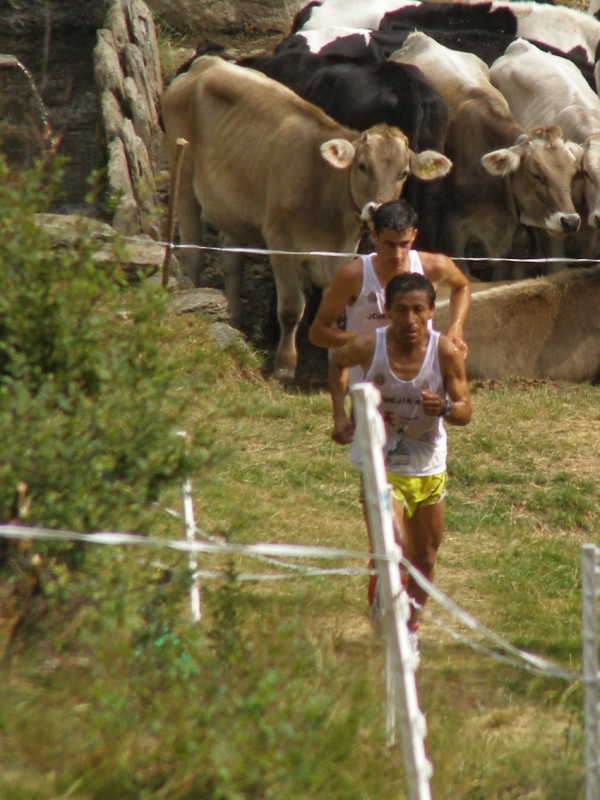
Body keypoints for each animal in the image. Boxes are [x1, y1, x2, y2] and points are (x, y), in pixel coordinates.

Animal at [159, 55, 450, 382]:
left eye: (403, 173)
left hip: (231, 203)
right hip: (183, 176)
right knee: (193, 250)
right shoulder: (281, 243)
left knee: (232, 259)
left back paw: (234, 316)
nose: (381, 211)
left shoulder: (341, 254)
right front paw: (285, 365)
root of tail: (206, 63)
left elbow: (333, 307)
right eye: (362, 165)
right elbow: (290, 307)